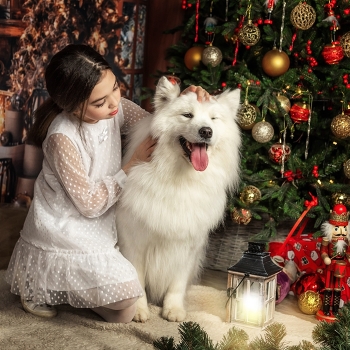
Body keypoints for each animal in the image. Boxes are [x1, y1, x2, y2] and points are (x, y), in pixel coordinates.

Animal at [116, 76, 242, 322]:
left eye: (213, 119)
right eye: (187, 115)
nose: (206, 131)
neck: (181, 179)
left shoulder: (187, 245)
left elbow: (177, 283)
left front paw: (173, 310)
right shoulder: (134, 243)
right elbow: (137, 280)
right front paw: (139, 311)